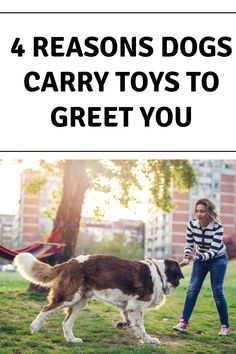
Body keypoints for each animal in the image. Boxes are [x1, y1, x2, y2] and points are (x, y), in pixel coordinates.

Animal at [14, 253, 184, 344]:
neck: (159, 274)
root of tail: (70, 262)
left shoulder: (128, 307)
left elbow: (132, 323)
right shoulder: (136, 306)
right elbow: (141, 327)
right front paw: (148, 340)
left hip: (80, 302)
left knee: (66, 323)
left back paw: (72, 340)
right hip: (70, 296)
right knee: (46, 309)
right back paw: (35, 326)